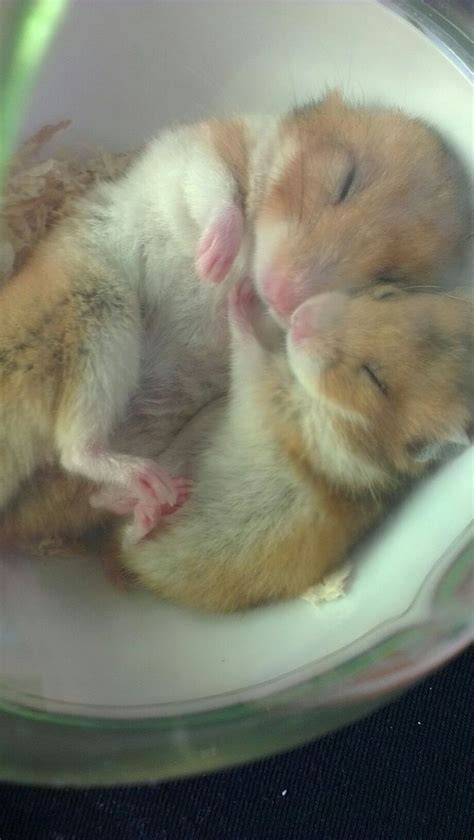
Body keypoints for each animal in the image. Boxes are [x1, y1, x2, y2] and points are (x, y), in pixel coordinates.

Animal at [0, 91, 470, 545]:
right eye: (346, 182)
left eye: (387, 279)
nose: (281, 296)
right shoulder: (205, 147)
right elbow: (218, 191)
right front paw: (213, 264)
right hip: (97, 309)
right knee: (74, 448)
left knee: (80, 466)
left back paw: (153, 499)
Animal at [105, 281, 473, 612]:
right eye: (385, 295)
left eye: (374, 379)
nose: (300, 319)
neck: (328, 405)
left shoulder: (267, 397)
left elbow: (248, 352)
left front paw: (241, 295)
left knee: (131, 537)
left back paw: (156, 504)